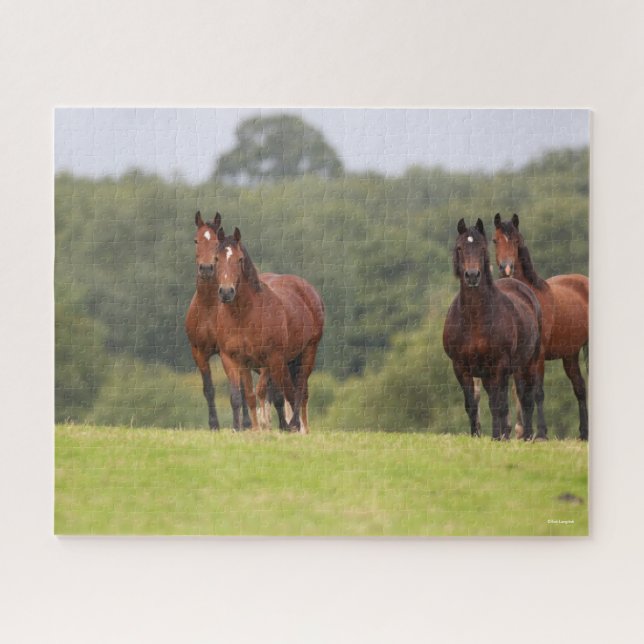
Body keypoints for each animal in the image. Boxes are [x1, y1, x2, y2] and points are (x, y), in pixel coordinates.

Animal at [185, 211, 252, 430]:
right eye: (196, 240)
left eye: (216, 243)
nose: (206, 268)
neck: (208, 306)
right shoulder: (198, 352)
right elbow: (208, 389)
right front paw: (214, 425)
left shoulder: (228, 352)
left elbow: (240, 389)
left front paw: (243, 423)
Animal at [212, 226, 325, 433]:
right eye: (216, 258)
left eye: (239, 259)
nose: (226, 292)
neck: (244, 316)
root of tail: (308, 291)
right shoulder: (234, 359)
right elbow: (242, 396)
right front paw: (242, 428)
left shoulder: (273, 358)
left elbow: (278, 395)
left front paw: (283, 427)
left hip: (308, 352)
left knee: (299, 389)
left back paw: (296, 424)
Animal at [443, 218, 544, 440]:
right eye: (459, 247)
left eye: (482, 247)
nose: (472, 276)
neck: (475, 320)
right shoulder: (461, 367)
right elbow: (472, 405)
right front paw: (476, 436)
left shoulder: (499, 366)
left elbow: (499, 405)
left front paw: (497, 438)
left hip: (528, 363)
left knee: (526, 399)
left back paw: (526, 436)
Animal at [492, 213, 589, 440]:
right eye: (495, 240)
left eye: (516, 241)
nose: (506, 269)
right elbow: (522, 393)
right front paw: (524, 434)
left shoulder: (539, 356)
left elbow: (537, 392)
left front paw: (542, 433)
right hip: (570, 355)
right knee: (579, 387)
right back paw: (583, 433)